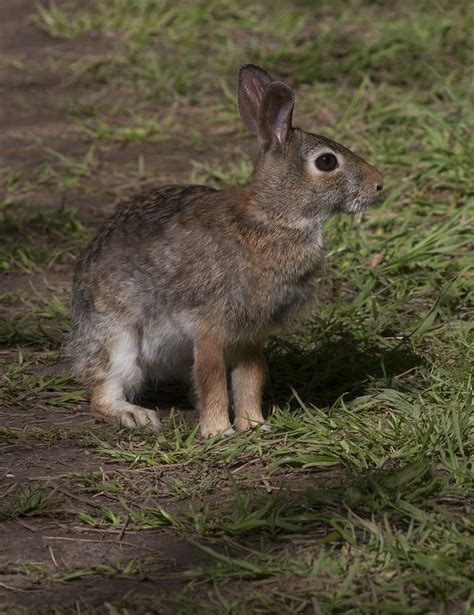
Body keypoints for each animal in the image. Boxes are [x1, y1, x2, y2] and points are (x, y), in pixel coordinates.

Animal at [69, 63, 382, 438]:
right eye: (326, 162)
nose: (378, 184)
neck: (273, 219)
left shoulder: (251, 334)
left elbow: (251, 377)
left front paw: (254, 425)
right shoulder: (208, 325)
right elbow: (213, 375)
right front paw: (219, 432)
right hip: (117, 338)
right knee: (103, 389)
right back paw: (135, 415)